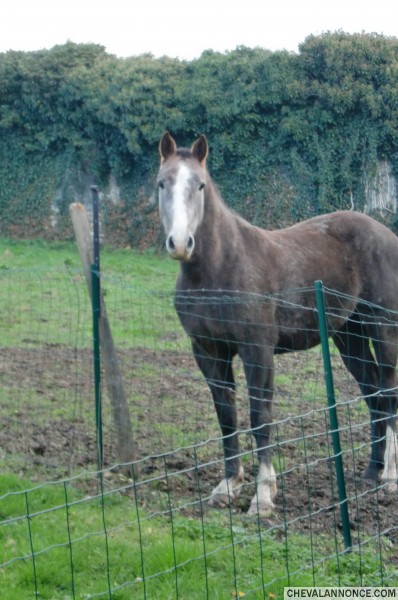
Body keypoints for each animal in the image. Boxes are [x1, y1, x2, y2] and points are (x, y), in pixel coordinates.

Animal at [157, 132, 398, 516]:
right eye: (161, 183)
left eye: (200, 185)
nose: (180, 243)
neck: (220, 268)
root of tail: (386, 234)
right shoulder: (208, 351)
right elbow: (226, 414)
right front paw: (228, 485)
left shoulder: (257, 350)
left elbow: (260, 416)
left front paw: (263, 495)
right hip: (350, 336)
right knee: (373, 394)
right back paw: (369, 474)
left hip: (383, 327)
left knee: (388, 394)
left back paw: (389, 476)